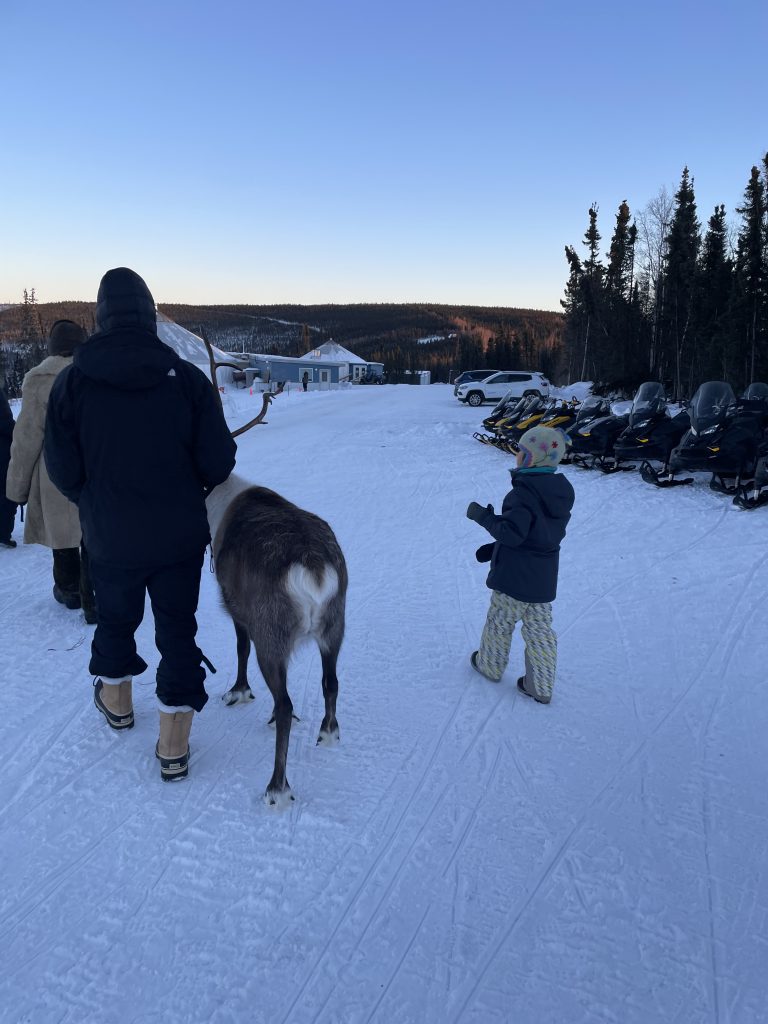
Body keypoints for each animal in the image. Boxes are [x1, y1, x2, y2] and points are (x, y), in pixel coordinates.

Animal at [205, 474, 348, 807]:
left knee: (285, 704)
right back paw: (328, 734)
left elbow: (241, 648)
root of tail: (314, 567)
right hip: (334, 627)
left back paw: (277, 788)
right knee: (330, 682)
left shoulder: (239, 613)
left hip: (270, 637)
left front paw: (239, 692)